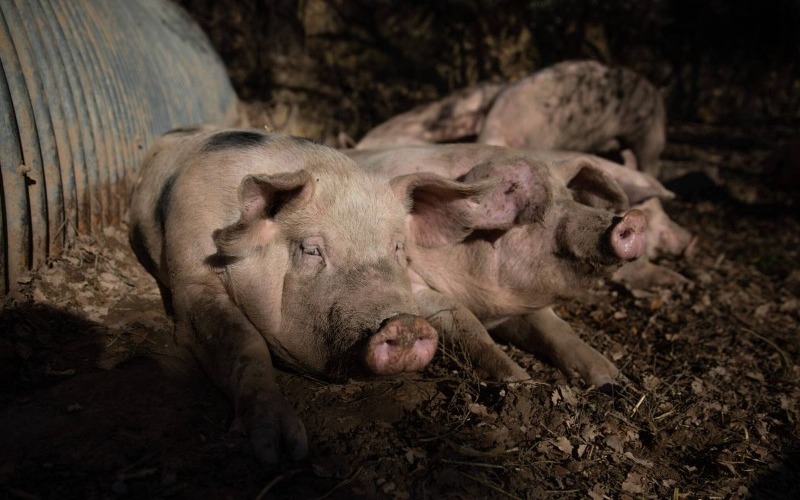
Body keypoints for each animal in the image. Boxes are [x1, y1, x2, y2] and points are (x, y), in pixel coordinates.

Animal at [128, 127, 507, 463]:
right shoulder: (191, 277)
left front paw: (513, 375)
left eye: (398, 246)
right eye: (311, 250)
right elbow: (244, 341)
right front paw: (281, 450)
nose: (405, 324)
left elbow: (460, 315)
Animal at [347, 143, 648, 387]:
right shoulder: (414, 287)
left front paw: (615, 380)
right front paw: (522, 381)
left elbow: (555, 327)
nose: (632, 219)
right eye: (538, 214)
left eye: (570, 198)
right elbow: (467, 324)